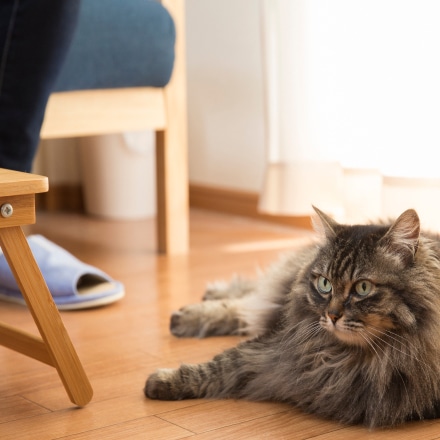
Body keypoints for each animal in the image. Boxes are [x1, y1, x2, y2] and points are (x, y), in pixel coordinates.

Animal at [144, 208, 440, 428]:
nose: (332, 315)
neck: (345, 358)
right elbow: (219, 365)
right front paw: (163, 381)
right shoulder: (275, 349)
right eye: (324, 284)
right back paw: (193, 309)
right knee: (253, 298)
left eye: (363, 288)